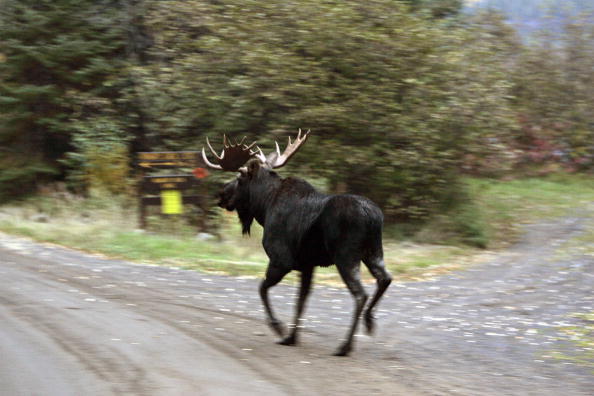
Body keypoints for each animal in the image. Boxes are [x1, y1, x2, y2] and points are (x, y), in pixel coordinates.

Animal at [201, 131, 390, 356]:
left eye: (240, 178)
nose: (221, 194)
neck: (264, 208)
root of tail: (374, 217)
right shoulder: (307, 265)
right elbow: (301, 300)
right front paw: (291, 337)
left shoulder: (281, 259)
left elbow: (262, 289)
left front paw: (279, 328)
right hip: (374, 252)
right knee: (385, 279)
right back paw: (369, 321)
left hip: (346, 256)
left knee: (360, 294)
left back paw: (344, 346)